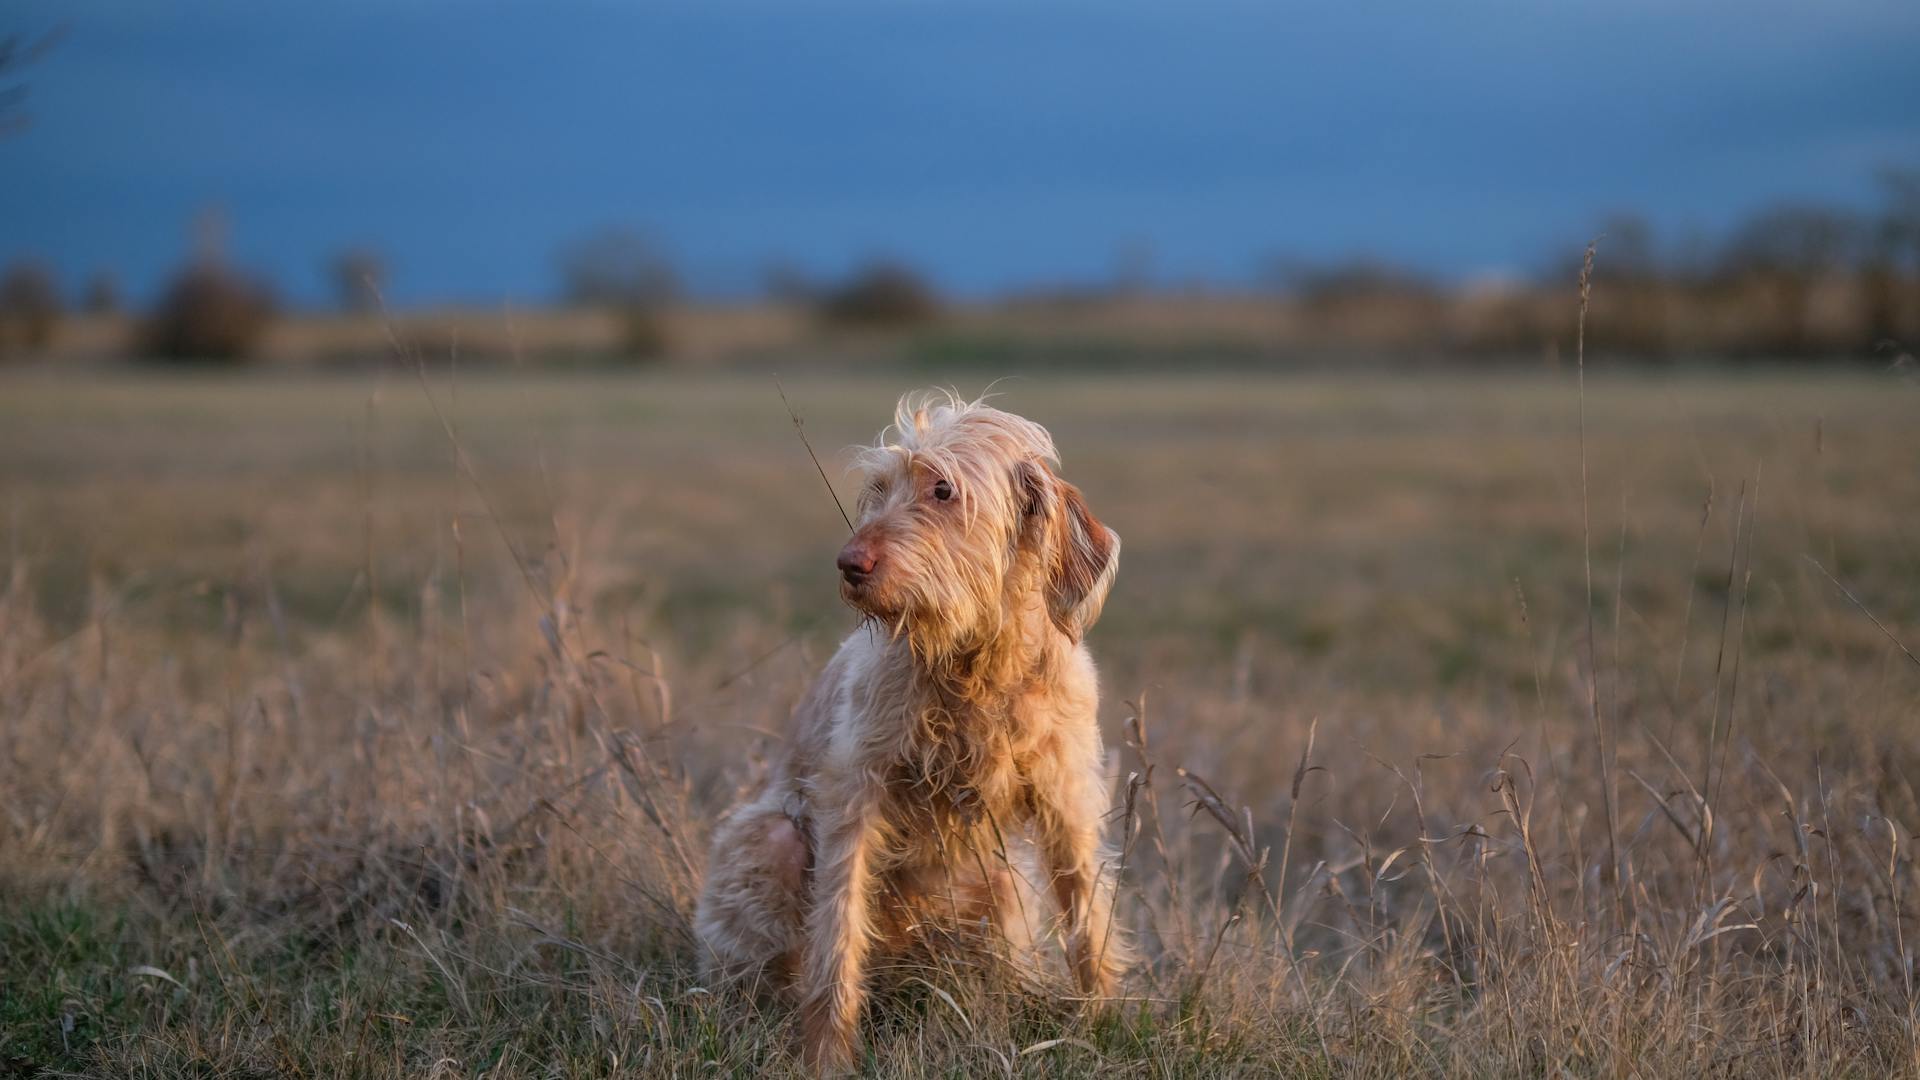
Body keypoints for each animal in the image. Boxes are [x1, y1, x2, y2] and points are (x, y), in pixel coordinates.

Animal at [695, 388, 1121, 1068]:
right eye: (879, 488)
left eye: (943, 490)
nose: (848, 564)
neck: (975, 662)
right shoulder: (854, 797)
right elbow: (838, 935)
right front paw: (827, 1058)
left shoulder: (1067, 802)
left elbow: (1089, 919)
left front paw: (1103, 1028)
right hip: (772, 843)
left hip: (1001, 887)